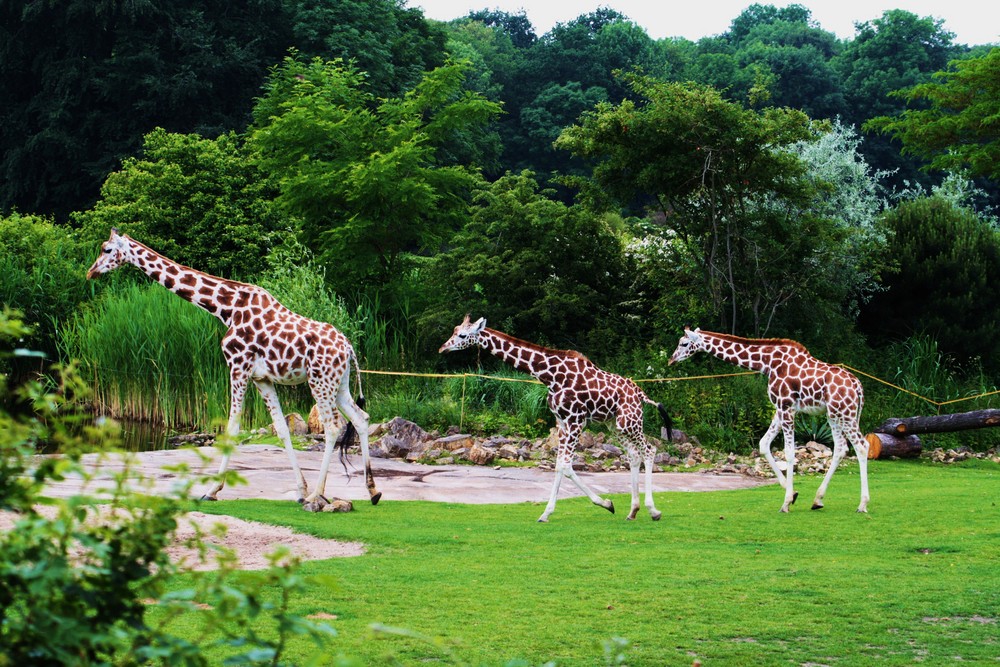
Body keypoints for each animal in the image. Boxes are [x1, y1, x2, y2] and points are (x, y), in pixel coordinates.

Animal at [85, 230, 382, 512]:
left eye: (106, 249)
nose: (91, 272)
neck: (225, 308)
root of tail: (348, 347)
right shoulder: (262, 379)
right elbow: (281, 429)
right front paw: (299, 490)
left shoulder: (237, 365)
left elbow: (232, 427)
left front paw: (211, 490)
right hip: (338, 383)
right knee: (361, 418)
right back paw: (372, 491)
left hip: (319, 379)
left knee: (333, 426)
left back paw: (318, 495)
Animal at [438, 316, 672, 524]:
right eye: (454, 330)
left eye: (462, 334)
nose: (443, 348)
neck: (550, 376)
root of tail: (640, 393)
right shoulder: (561, 422)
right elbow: (558, 464)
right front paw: (545, 514)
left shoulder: (576, 419)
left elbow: (566, 466)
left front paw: (606, 503)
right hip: (614, 424)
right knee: (634, 454)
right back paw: (633, 511)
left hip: (629, 421)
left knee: (649, 450)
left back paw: (654, 511)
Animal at [668, 328, 872, 512]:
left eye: (683, 343)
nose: (671, 360)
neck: (768, 363)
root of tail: (858, 387)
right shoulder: (779, 408)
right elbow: (763, 444)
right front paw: (793, 494)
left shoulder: (786, 406)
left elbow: (789, 452)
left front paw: (786, 502)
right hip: (834, 415)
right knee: (841, 448)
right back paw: (818, 500)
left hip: (845, 414)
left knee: (862, 446)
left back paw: (862, 504)